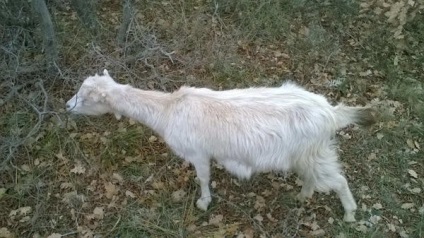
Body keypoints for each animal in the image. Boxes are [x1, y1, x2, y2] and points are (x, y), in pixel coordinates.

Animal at [65, 69, 374, 222]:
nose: (67, 106)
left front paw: (203, 202)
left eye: (87, 97)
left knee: (339, 180)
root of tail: (332, 112)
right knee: (312, 177)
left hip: (315, 152)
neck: (168, 110)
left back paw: (349, 214)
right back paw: (303, 196)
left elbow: (203, 178)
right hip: (305, 155)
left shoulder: (199, 153)